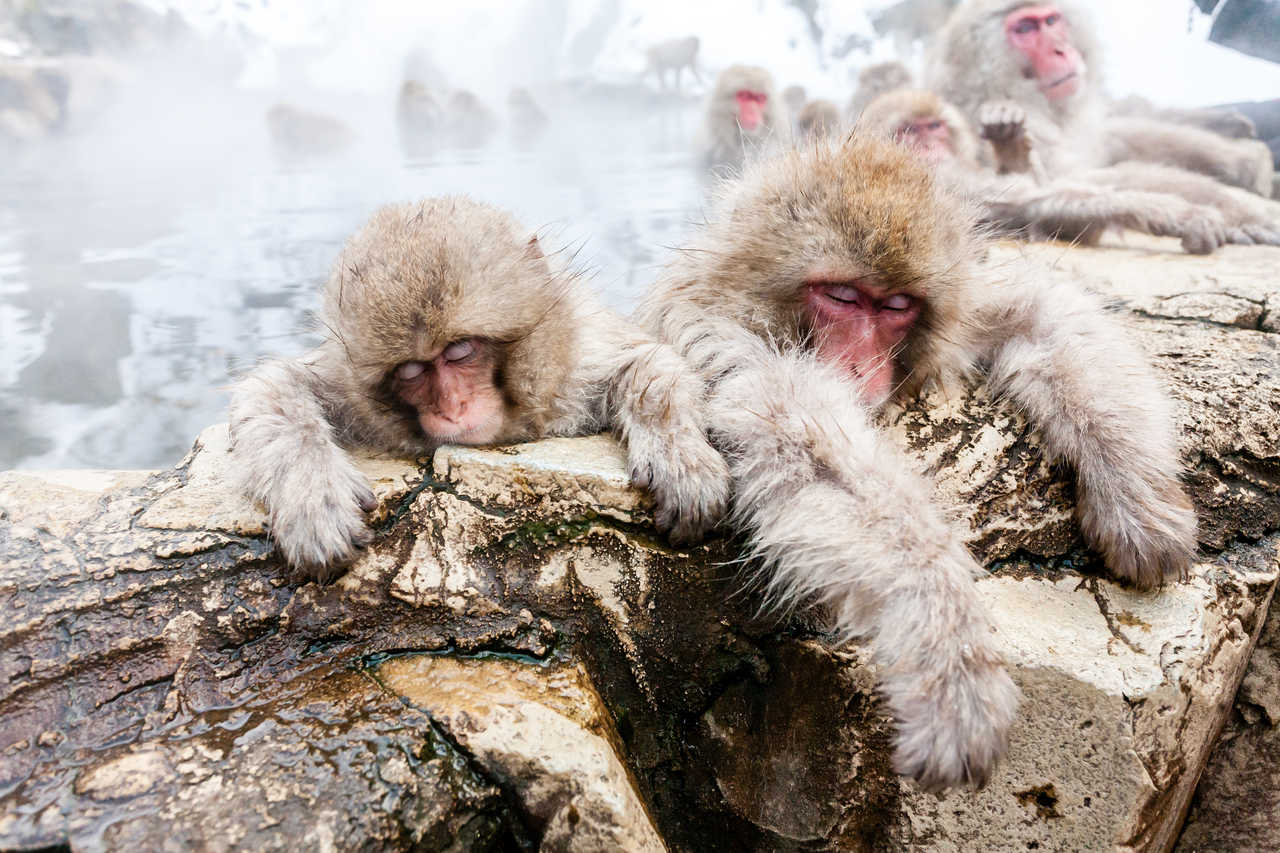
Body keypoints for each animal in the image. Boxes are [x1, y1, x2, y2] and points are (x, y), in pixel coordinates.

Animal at [229, 198, 730, 578]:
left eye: (459, 350)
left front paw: (679, 459)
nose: (453, 407)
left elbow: (647, 362)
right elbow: (273, 386)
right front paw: (314, 498)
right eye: (411, 371)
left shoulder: (575, 368)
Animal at [638, 135, 1197, 790]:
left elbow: (1044, 309)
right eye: (842, 296)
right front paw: (952, 656)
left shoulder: (968, 305)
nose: (861, 368)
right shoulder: (723, 337)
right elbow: (812, 455)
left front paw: (1138, 499)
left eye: (897, 306)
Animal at [858, 89, 1280, 251]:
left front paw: (1011, 141)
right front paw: (1178, 215)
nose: (930, 148)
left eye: (934, 127)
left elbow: (1034, 191)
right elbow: (1029, 203)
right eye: (909, 131)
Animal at [929, 1, 1275, 197]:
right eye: (1025, 28)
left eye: (1051, 21)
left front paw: (1230, 137)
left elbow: (1116, 131)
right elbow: (1059, 181)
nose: (1060, 50)